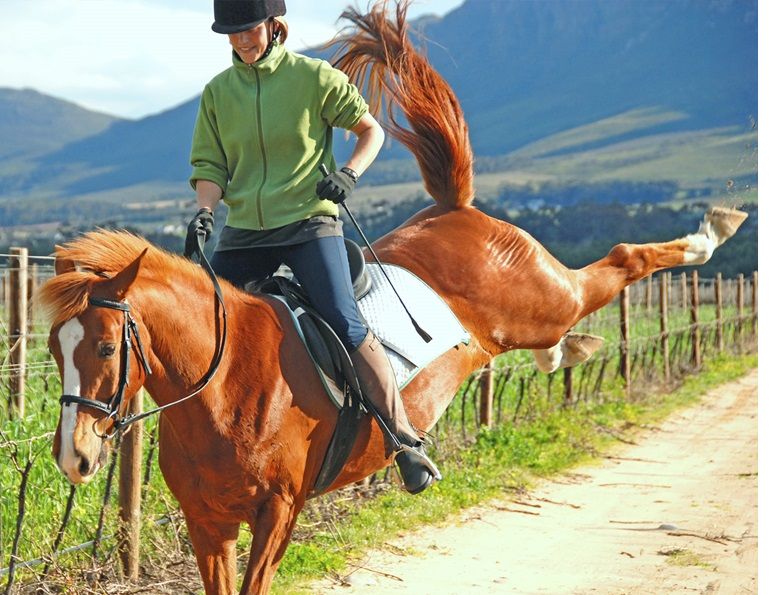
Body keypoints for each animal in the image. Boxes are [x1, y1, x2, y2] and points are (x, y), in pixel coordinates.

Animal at [39, 2, 747, 593]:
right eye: (53, 349)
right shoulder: (207, 522)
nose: (74, 459)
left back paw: (711, 232)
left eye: (105, 348)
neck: (228, 380)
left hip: (543, 297)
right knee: (557, 334)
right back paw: (570, 352)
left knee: (620, 263)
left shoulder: (277, 512)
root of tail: (453, 210)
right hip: (530, 321)